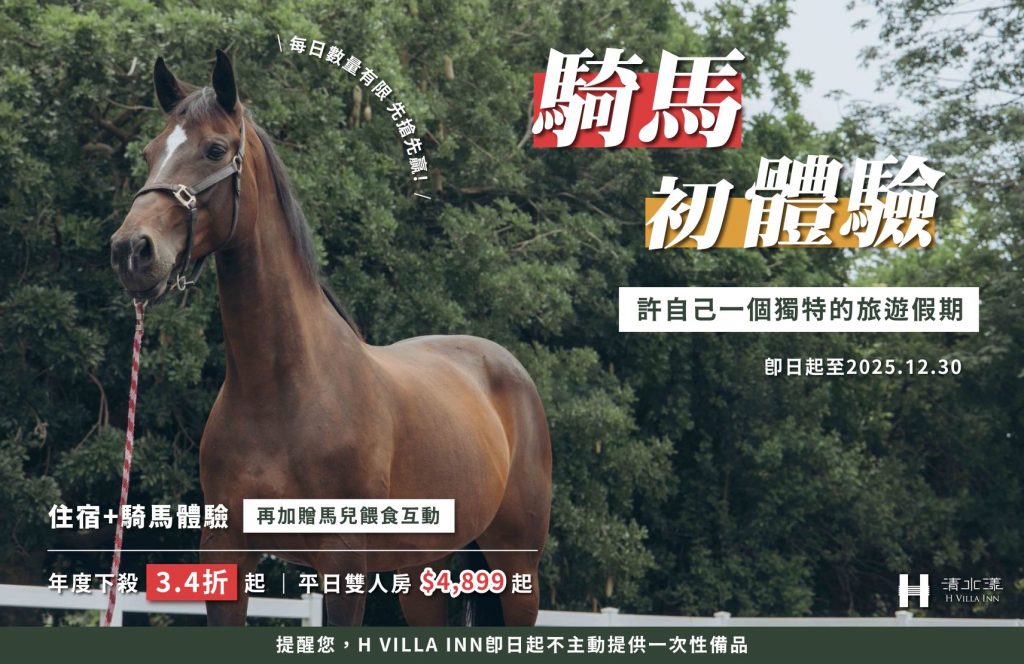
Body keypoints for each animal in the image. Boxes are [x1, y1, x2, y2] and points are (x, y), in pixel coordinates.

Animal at [109, 50, 552, 626]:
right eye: (150, 152)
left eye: (214, 149)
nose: (130, 251)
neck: (284, 388)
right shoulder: (225, 548)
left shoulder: (343, 560)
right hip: (421, 568)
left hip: (517, 566)